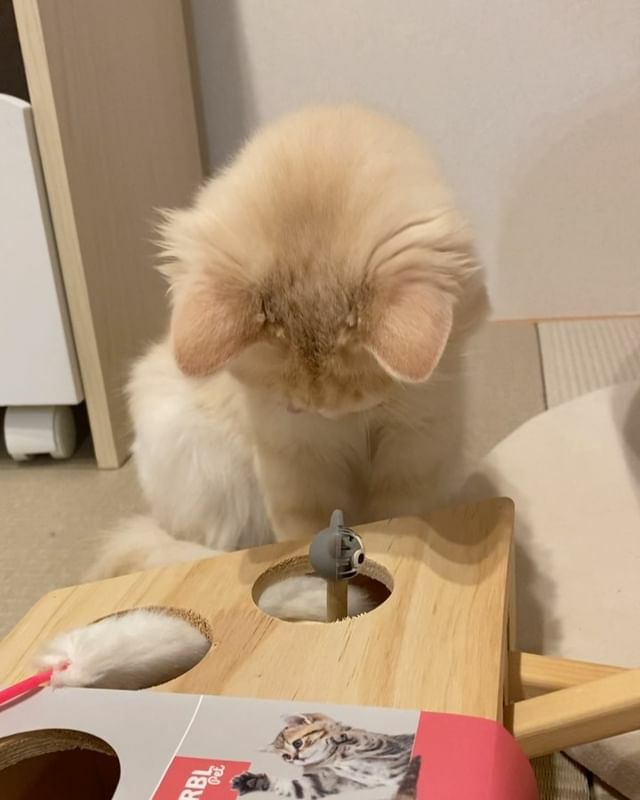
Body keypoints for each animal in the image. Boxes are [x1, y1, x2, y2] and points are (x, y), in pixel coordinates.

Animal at [90, 104, 488, 619]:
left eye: (366, 401)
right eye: (294, 406)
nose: (326, 418)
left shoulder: (419, 438)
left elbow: (400, 514)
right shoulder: (292, 457)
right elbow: (303, 536)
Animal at [231, 713, 415, 799]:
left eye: (297, 743)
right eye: (286, 757)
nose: (295, 759)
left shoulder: (386, 746)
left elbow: (357, 738)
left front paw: (336, 737)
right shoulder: (323, 782)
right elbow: (291, 786)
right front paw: (252, 781)